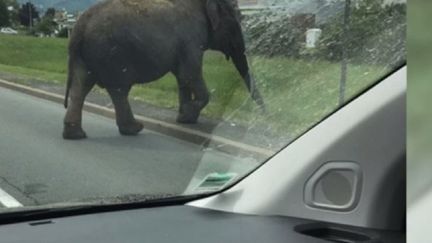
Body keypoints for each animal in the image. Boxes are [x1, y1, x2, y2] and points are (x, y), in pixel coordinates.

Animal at [62, 0, 264, 140]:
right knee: (118, 89)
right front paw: (187, 114)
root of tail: (78, 28)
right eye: (236, 23)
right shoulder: (191, 38)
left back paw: (76, 135)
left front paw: (184, 118)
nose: (264, 114)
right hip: (111, 54)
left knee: (81, 87)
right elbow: (190, 74)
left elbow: (183, 77)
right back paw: (135, 128)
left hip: (86, 55)